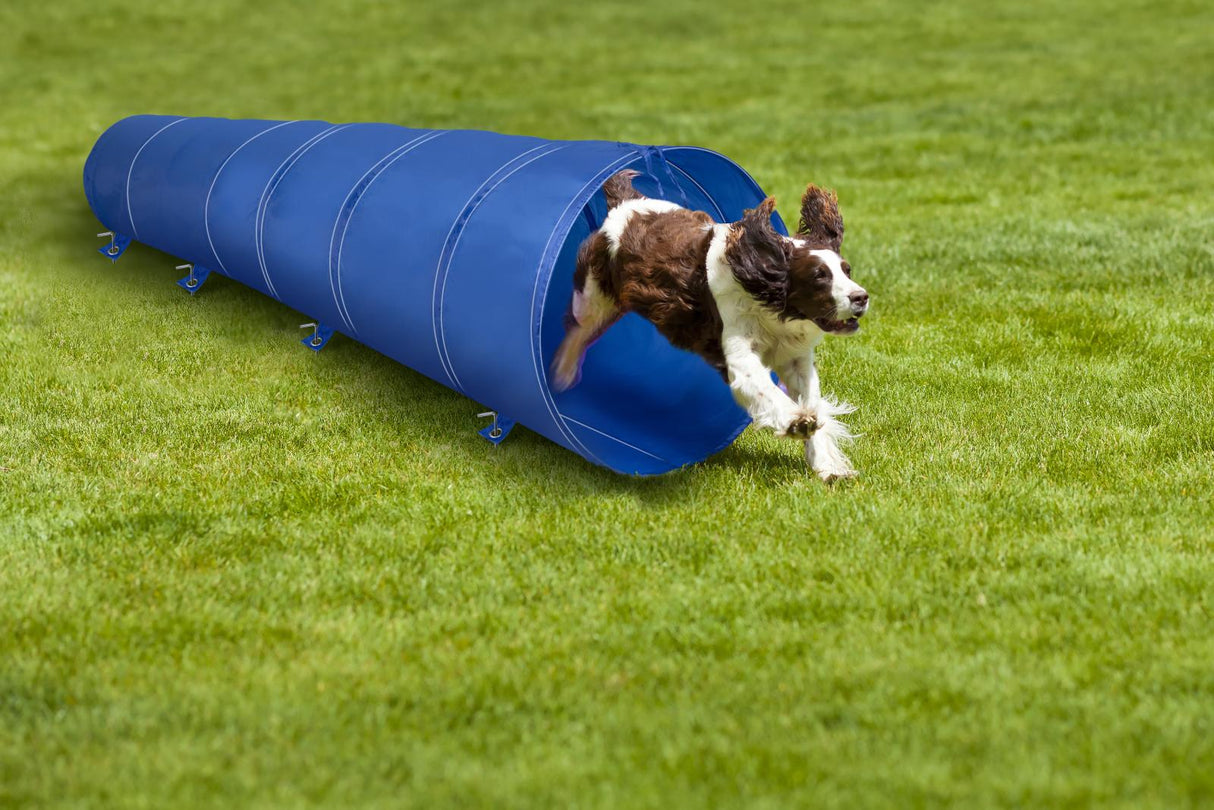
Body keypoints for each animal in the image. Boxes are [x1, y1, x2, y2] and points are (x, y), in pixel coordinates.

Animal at [551, 167, 874, 478]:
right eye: (819, 276)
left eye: (846, 270)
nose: (861, 297)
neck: (770, 305)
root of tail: (628, 204)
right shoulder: (737, 352)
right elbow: (762, 387)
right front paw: (796, 421)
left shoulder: (796, 358)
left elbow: (813, 401)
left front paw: (829, 468)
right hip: (594, 294)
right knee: (578, 329)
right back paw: (562, 373)